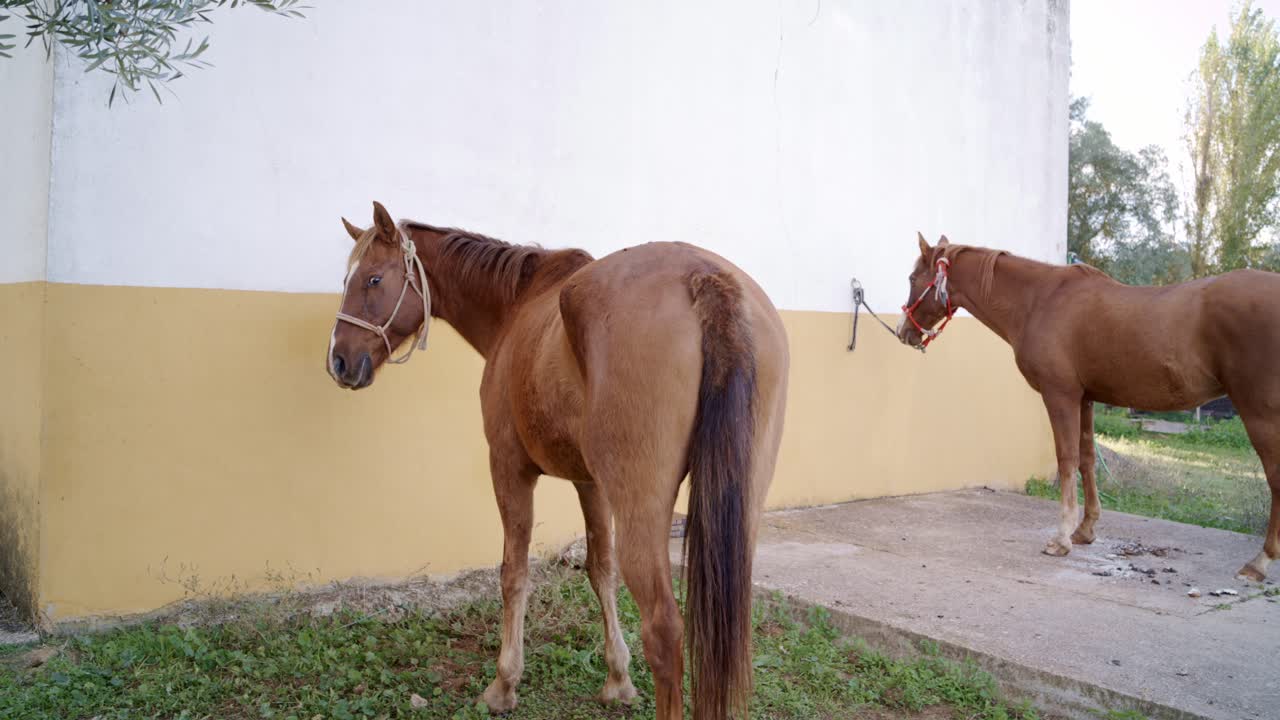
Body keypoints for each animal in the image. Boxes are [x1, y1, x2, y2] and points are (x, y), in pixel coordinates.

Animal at [326, 202, 789, 719]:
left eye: (372, 279)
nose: (339, 360)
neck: (517, 304)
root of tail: (706, 278)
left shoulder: (508, 468)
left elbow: (514, 573)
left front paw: (504, 684)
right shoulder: (592, 485)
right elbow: (600, 569)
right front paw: (617, 679)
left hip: (643, 512)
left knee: (664, 629)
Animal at [897, 233, 1280, 582]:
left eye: (913, 278)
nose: (904, 332)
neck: (1039, 300)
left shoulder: (1060, 395)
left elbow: (1066, 460)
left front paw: (1061, 538)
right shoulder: (1085, 398)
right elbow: (1086, 459)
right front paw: (1085, 530)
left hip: (1259, 414)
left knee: (1275, 478)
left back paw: (1259, 562)